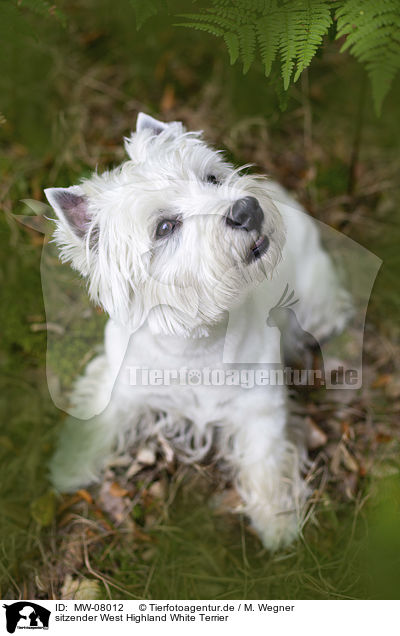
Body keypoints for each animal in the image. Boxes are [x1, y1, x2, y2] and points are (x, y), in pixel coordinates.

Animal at [44, 114, 350, 552]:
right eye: (164, 227)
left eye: (211, 177)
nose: (247, 209)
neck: (197, 341)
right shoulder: (120, 383)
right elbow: (97, 417)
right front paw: (70, 465)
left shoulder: (261, 407)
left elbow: (267, 461)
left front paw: (277, 522)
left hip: (316, 296)